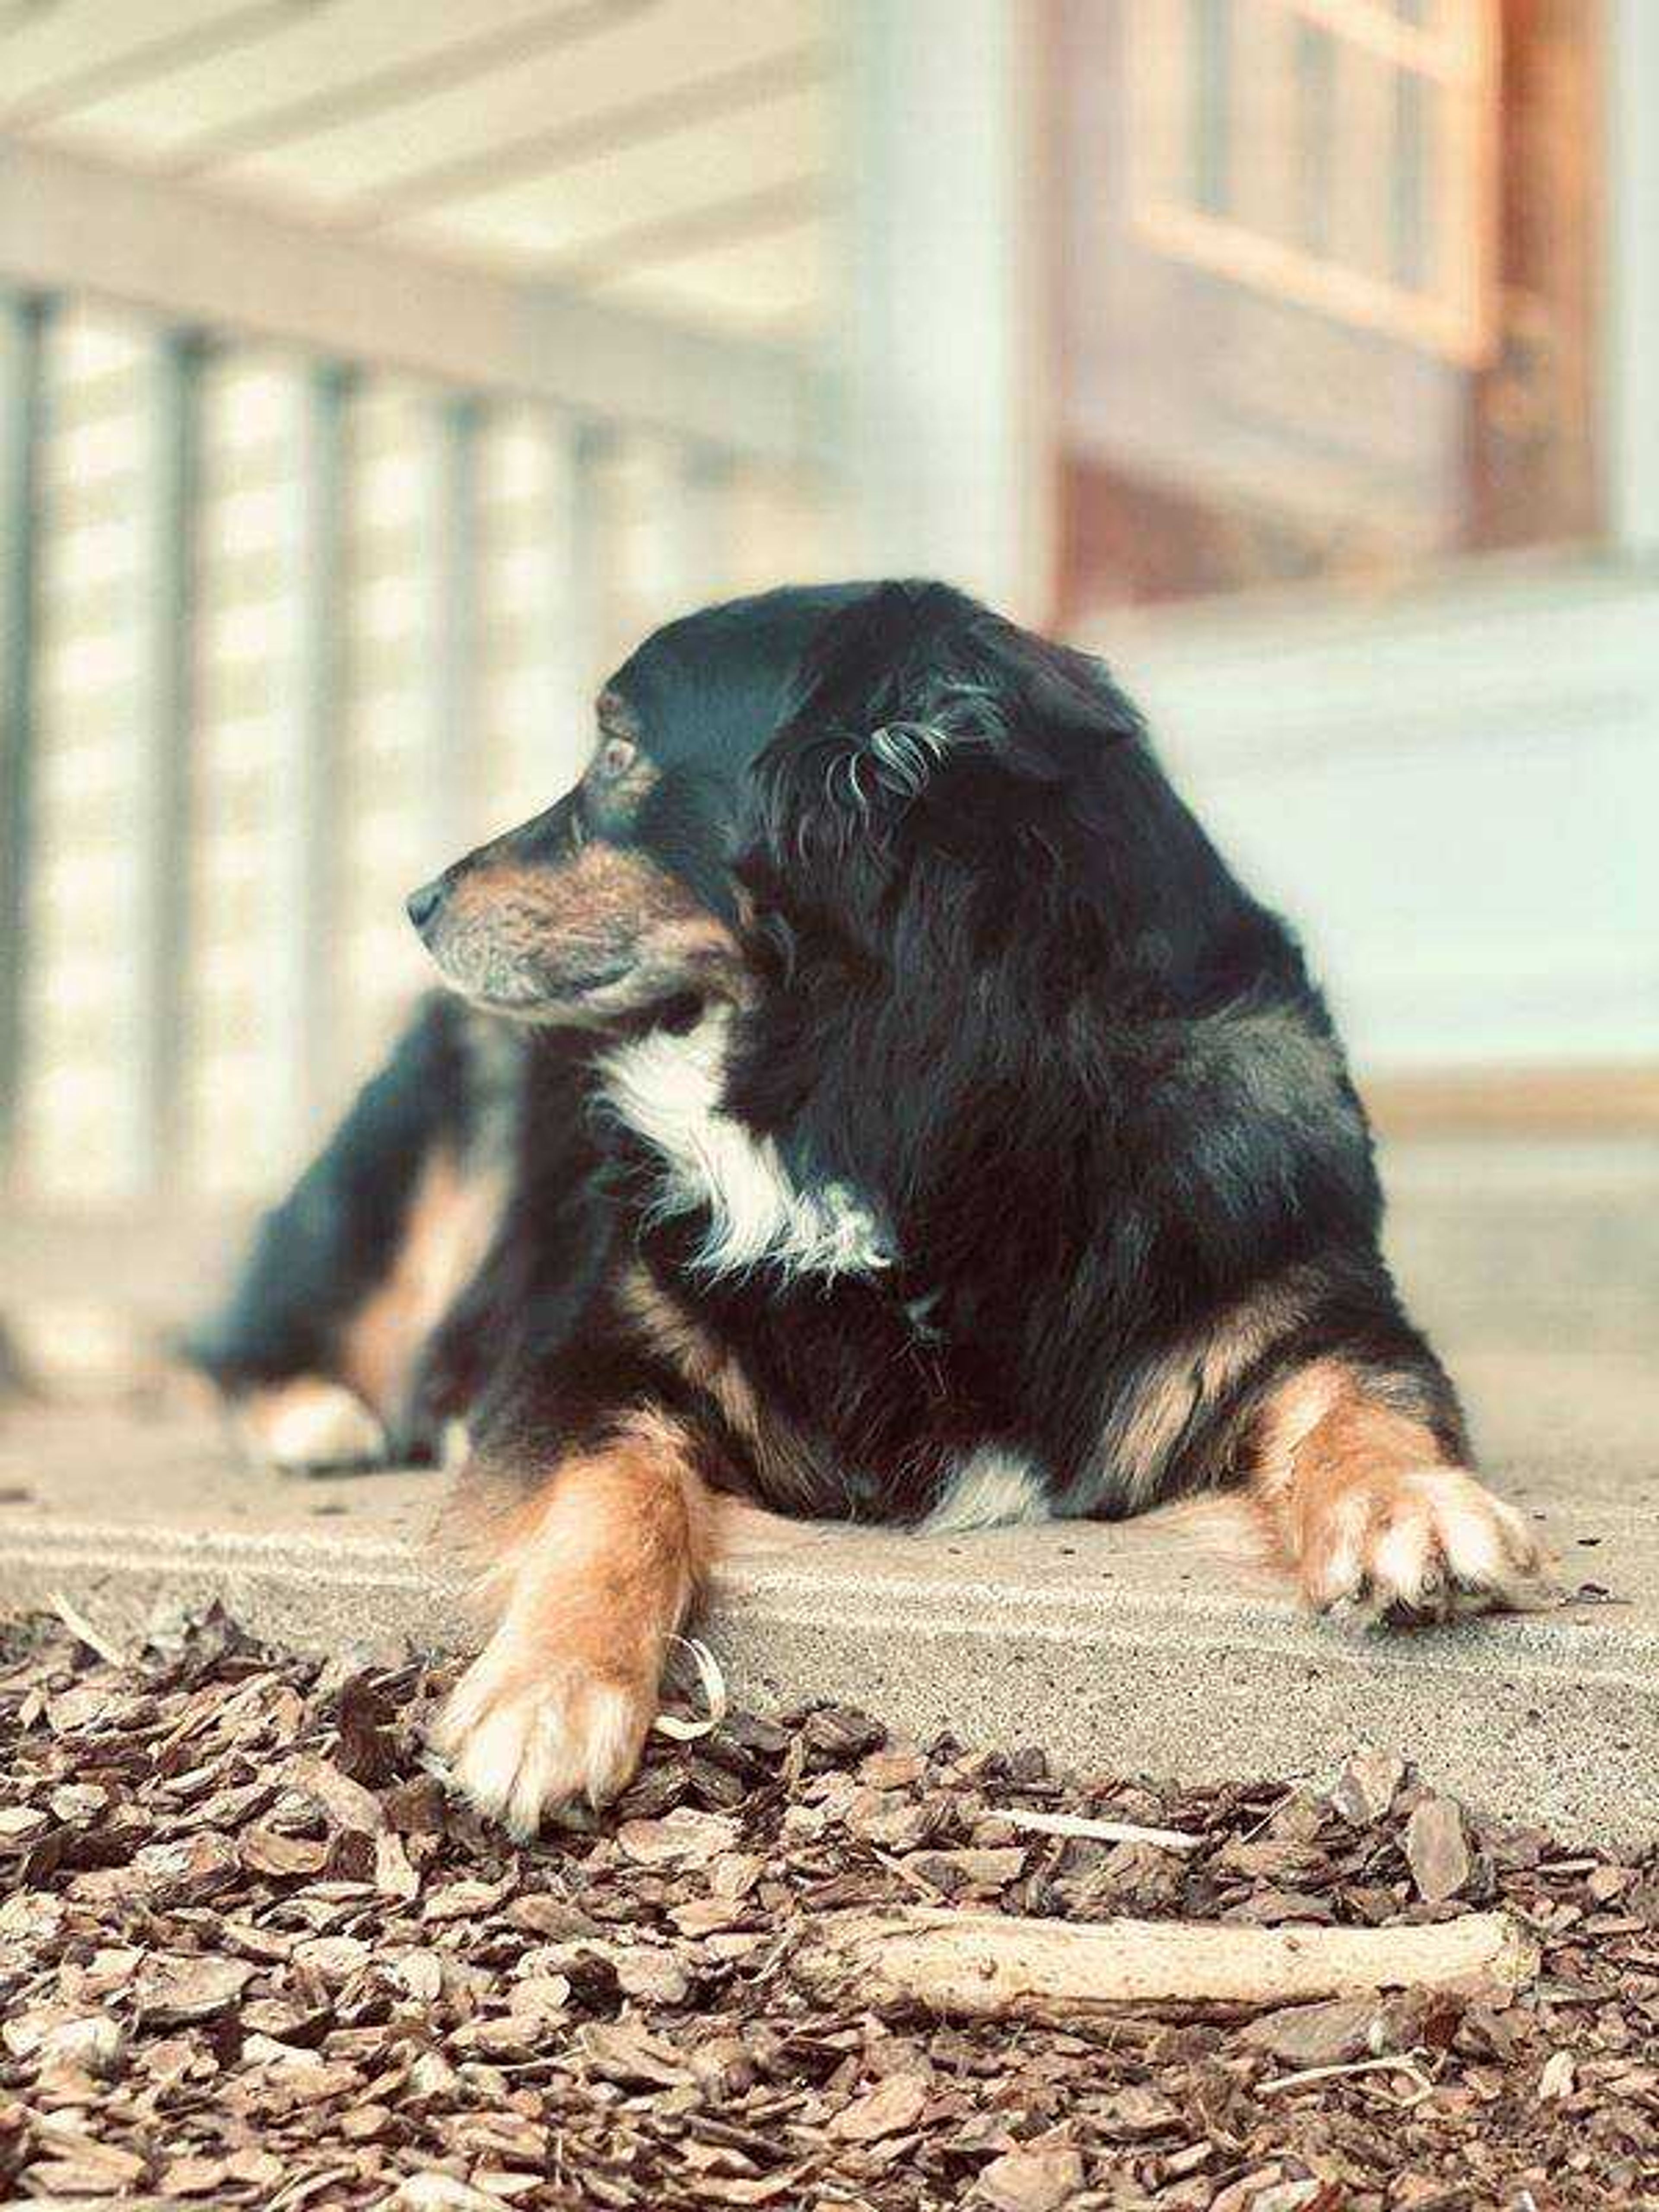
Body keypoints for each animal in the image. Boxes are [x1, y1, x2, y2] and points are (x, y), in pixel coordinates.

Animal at [194, 584, 1557, 1831]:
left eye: (617, 750)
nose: (417, 903)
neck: (914, 1101)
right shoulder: (587, 1354)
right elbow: (616, 1484)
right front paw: (550, 1689)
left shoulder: (1307, 1304)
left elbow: (1363, 1398)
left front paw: (1417, 1511)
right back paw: (317, 1417)